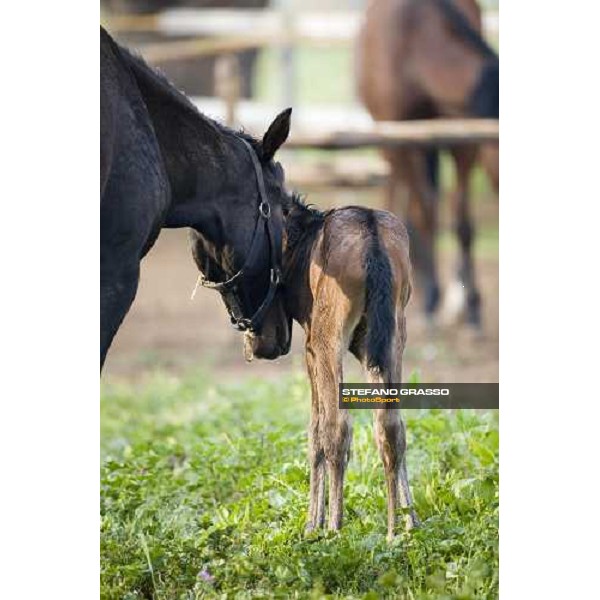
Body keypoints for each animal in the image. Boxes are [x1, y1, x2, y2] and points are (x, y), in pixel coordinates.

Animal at [274, 198, 420, 540]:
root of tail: (373, 243)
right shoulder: (369, 346)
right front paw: (411, 521)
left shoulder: (312, 348)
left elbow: (315, 429)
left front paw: (312, 524)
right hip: (393, 334)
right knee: (391, 425)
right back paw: (394, 530)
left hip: (330, 337)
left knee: (338, 426)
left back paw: (334, 528)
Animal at [356, 0, 496, 328]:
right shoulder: (401, 135)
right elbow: (427, 212)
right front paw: (432, 296)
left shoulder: (464, 138)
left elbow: (462, 221)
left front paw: (473, 306)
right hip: (392, 144)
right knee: (401, 196)